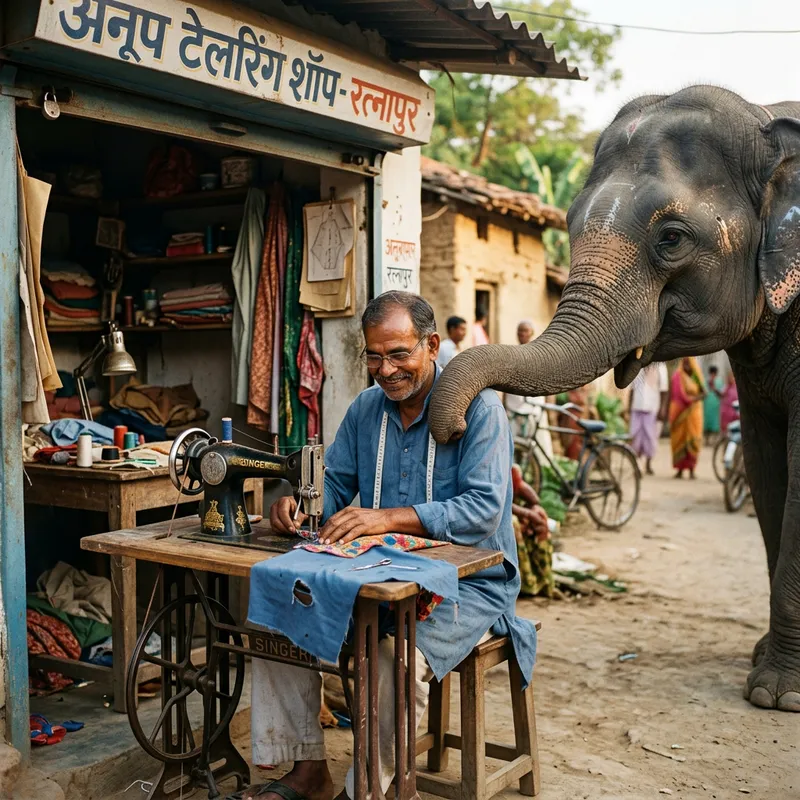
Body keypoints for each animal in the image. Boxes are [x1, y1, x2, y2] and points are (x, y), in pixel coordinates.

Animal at [428, 86, 800, 712]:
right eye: (568, 223)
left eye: (671, 237)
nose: (452, 428)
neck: (765, 118)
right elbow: (765, 465)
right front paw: (764, 672)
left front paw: (776, 696)